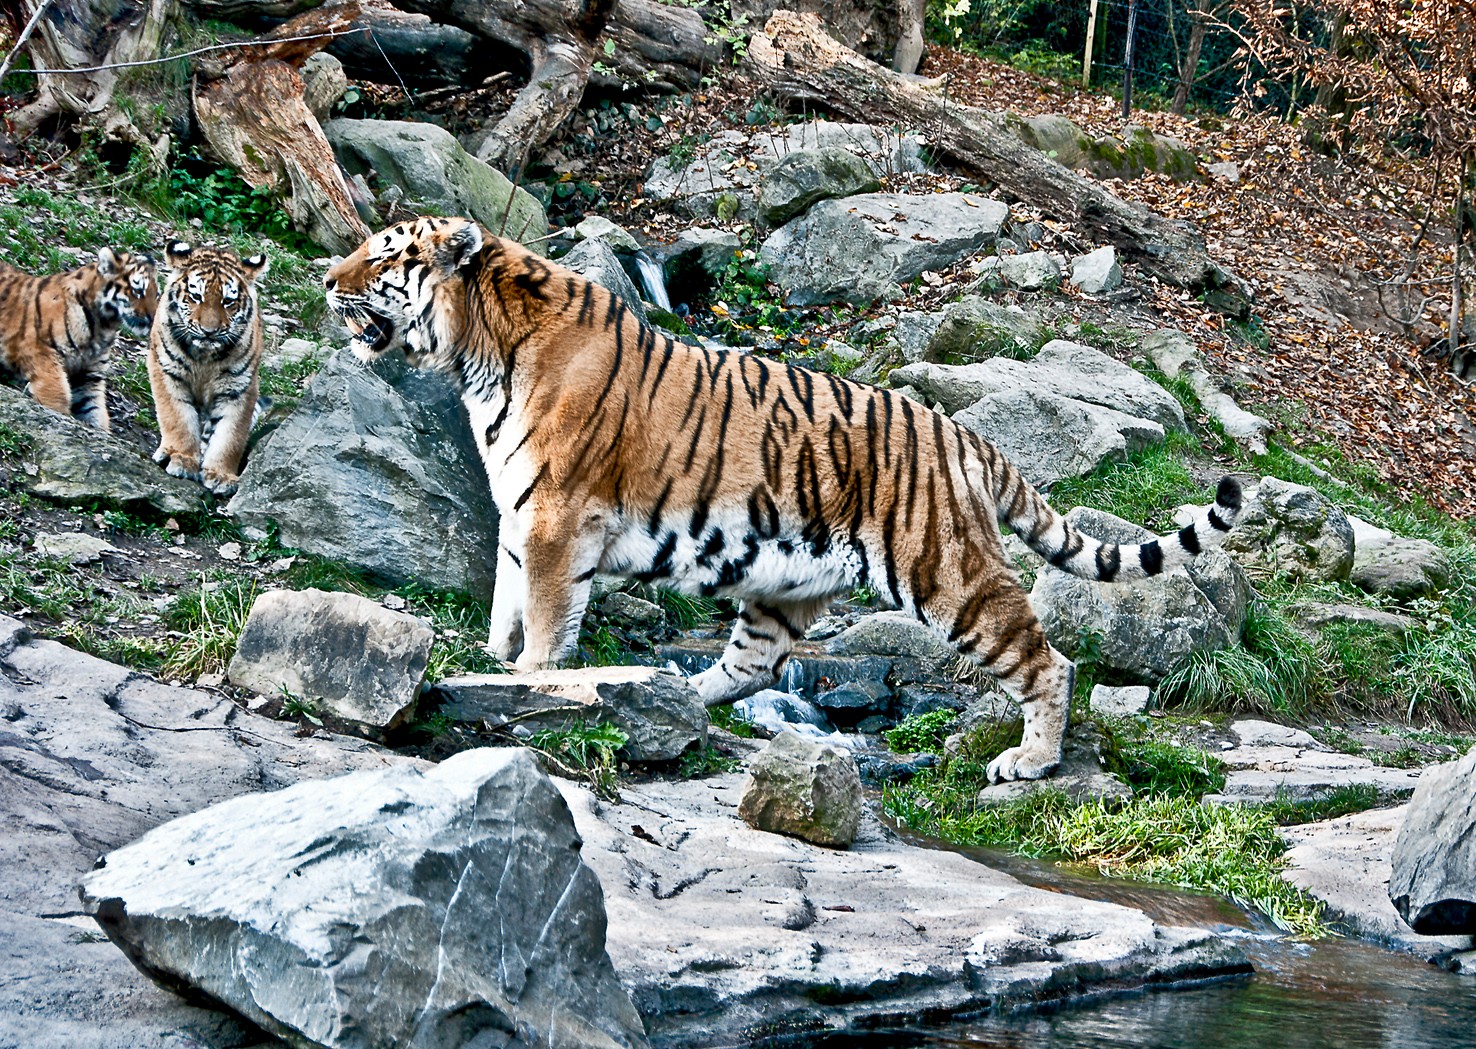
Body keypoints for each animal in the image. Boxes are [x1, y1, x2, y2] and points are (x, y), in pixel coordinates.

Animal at [0, 250, 157, 430]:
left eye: (156, 294)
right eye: (138, 290)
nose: (153, 317)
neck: (103, 326)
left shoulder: (89, 377)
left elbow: (96, 413)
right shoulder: (40, 354)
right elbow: (57, 397)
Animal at [148, 241, 270, 495]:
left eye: (228, 301)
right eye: (196, 296)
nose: (209, 331)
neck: (204, 357)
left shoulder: (240, 388)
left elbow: (230, 434)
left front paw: (221, 474)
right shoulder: (166, 371)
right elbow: (178, 418)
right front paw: (181, 458)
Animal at [326, 216, 1245, 784]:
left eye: (384, 256)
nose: (323, 277)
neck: (477, 355)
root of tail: (959, 433)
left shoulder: (556, 520)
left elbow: (546, 621)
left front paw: (532, 682)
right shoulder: (521, 520)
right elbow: (505, 602)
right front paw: (496, 663)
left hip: (944, 569)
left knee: (1047, 659)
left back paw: (1032, 760)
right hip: (780, 585)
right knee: (748, 668)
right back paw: (661, 693)